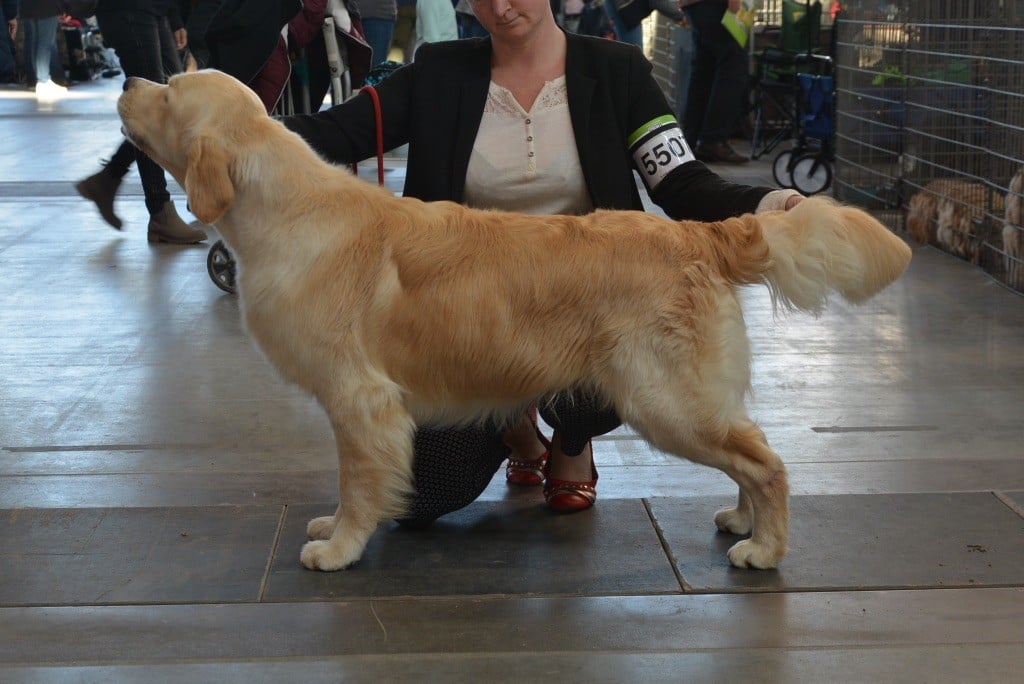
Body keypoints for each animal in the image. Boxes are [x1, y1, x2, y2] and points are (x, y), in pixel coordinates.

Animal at [117, 70, 913, 573]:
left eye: (172, 88)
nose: (126, 83)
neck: (282, 207)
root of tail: (699, 234)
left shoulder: (360, 399)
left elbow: (359, 481)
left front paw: (340, 548)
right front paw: (333, 529)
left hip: (665, 400)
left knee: (767, 462)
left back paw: (765, 550)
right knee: (754, 452)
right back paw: (743, 522)